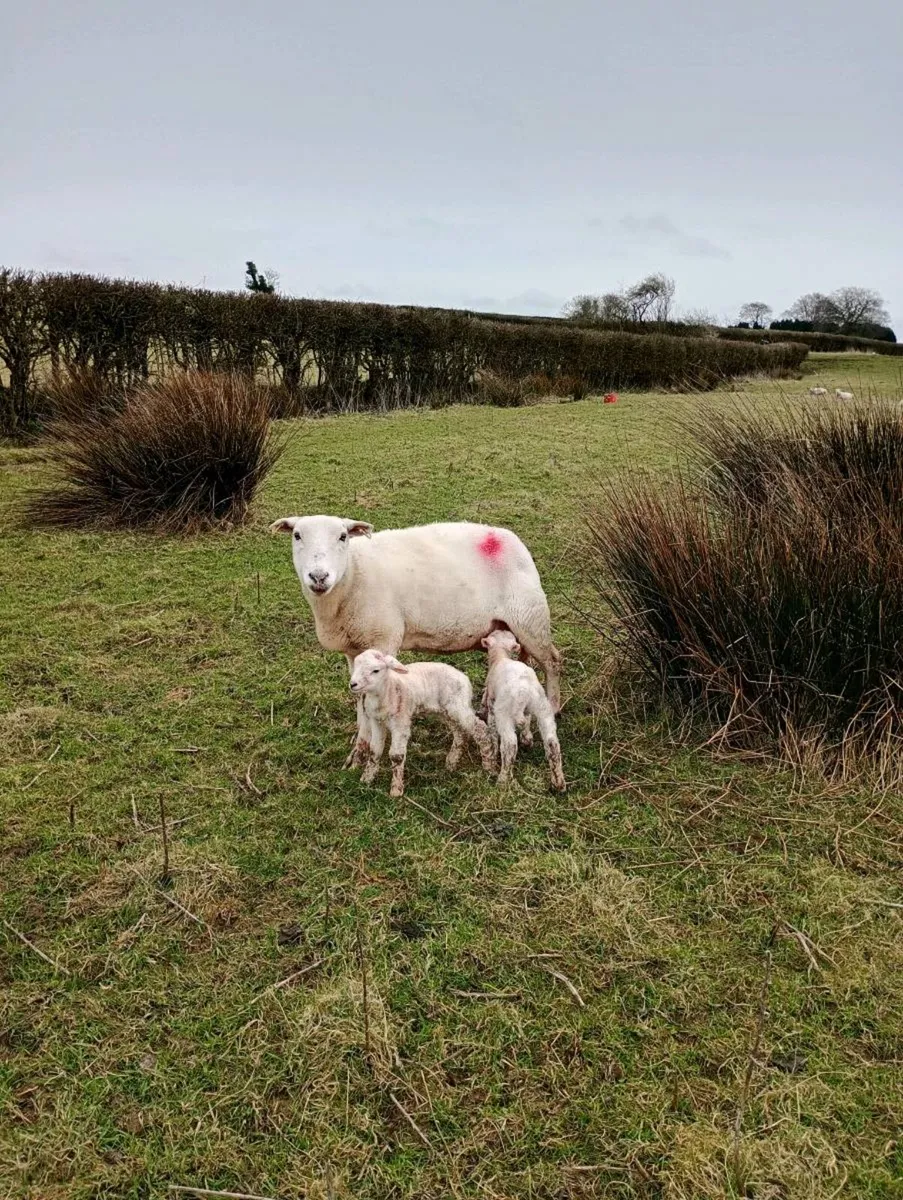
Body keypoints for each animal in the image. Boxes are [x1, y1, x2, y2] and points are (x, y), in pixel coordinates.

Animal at [270, 515, 562, 764]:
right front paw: (359, 751)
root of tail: (512, 540)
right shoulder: (353, 651)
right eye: (297, 535)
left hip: (530, 618)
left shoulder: (383, 639)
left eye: (343, 536)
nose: (319, 577)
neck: (353, 572)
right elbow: (359, 699)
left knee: (552, 661)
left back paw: (554, 706)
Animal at [349, 649, 495, 797]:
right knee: (459, 733)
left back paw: (488, 765)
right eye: (356, 665)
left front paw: (396, 790)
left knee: (480, 729)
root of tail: (465, 679)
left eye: (376, 670)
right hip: (446, 711)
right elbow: (374, 750)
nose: (353, 684)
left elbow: (396, 756)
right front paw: (366, 779)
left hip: (458, 706)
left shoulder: (400, 723)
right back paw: (451, 763)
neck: (388, 690)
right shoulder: (376, 721)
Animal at [481, 629, 565, 792]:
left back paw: (502, 781)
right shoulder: (527, 712)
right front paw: (527, 740)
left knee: (509, 745)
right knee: (552, 742)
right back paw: (558, 783)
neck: (501, 656)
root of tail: (522, 691)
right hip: (542, 706)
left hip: (504, 712)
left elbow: (492, 730)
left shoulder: (492, 706)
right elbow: (526, 721)